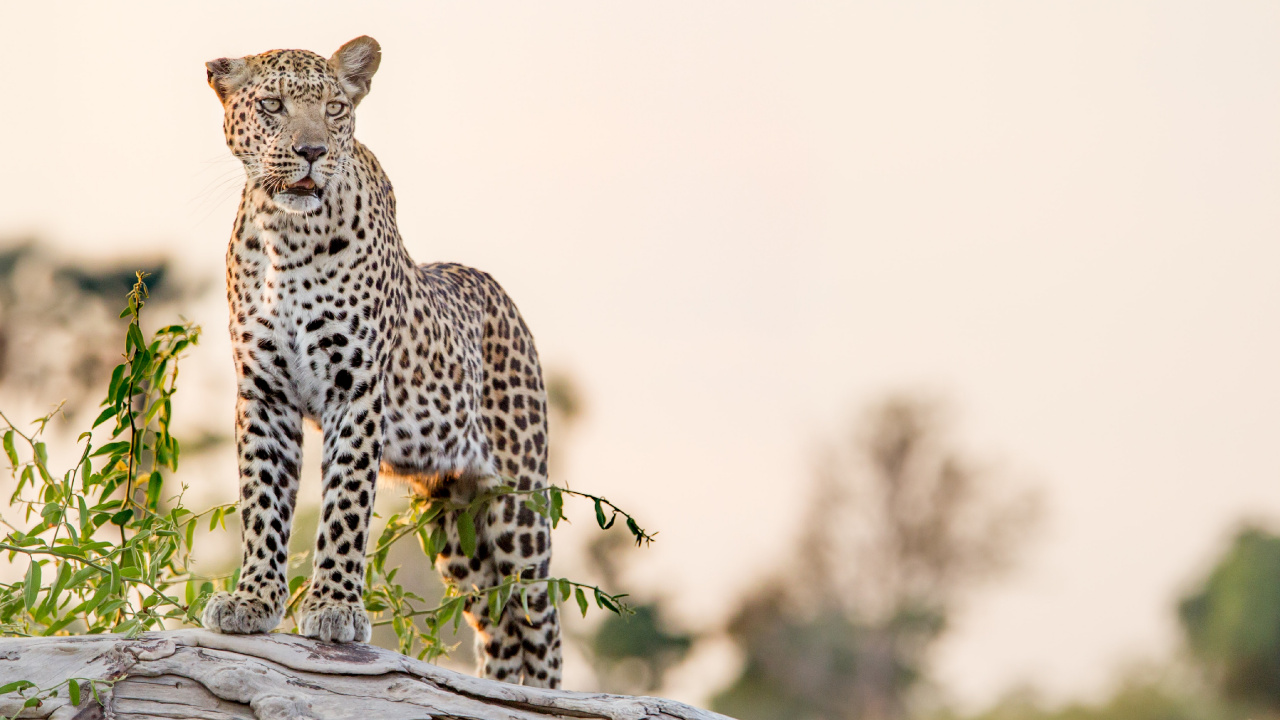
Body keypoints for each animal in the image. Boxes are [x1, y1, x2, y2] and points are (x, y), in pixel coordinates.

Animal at [199, 36, 562, 688]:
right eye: (272, 105)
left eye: (335, 109)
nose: (312, 151)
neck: (286, 236)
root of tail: (504, 299)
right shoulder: (264, 394)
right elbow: (262, 502)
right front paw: (253, 600)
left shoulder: (356, 390)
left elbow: (344, 504)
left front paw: (335, 609)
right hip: (455, 525)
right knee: (498, 625)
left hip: (518, 505)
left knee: (540, 622)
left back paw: (546, 698)